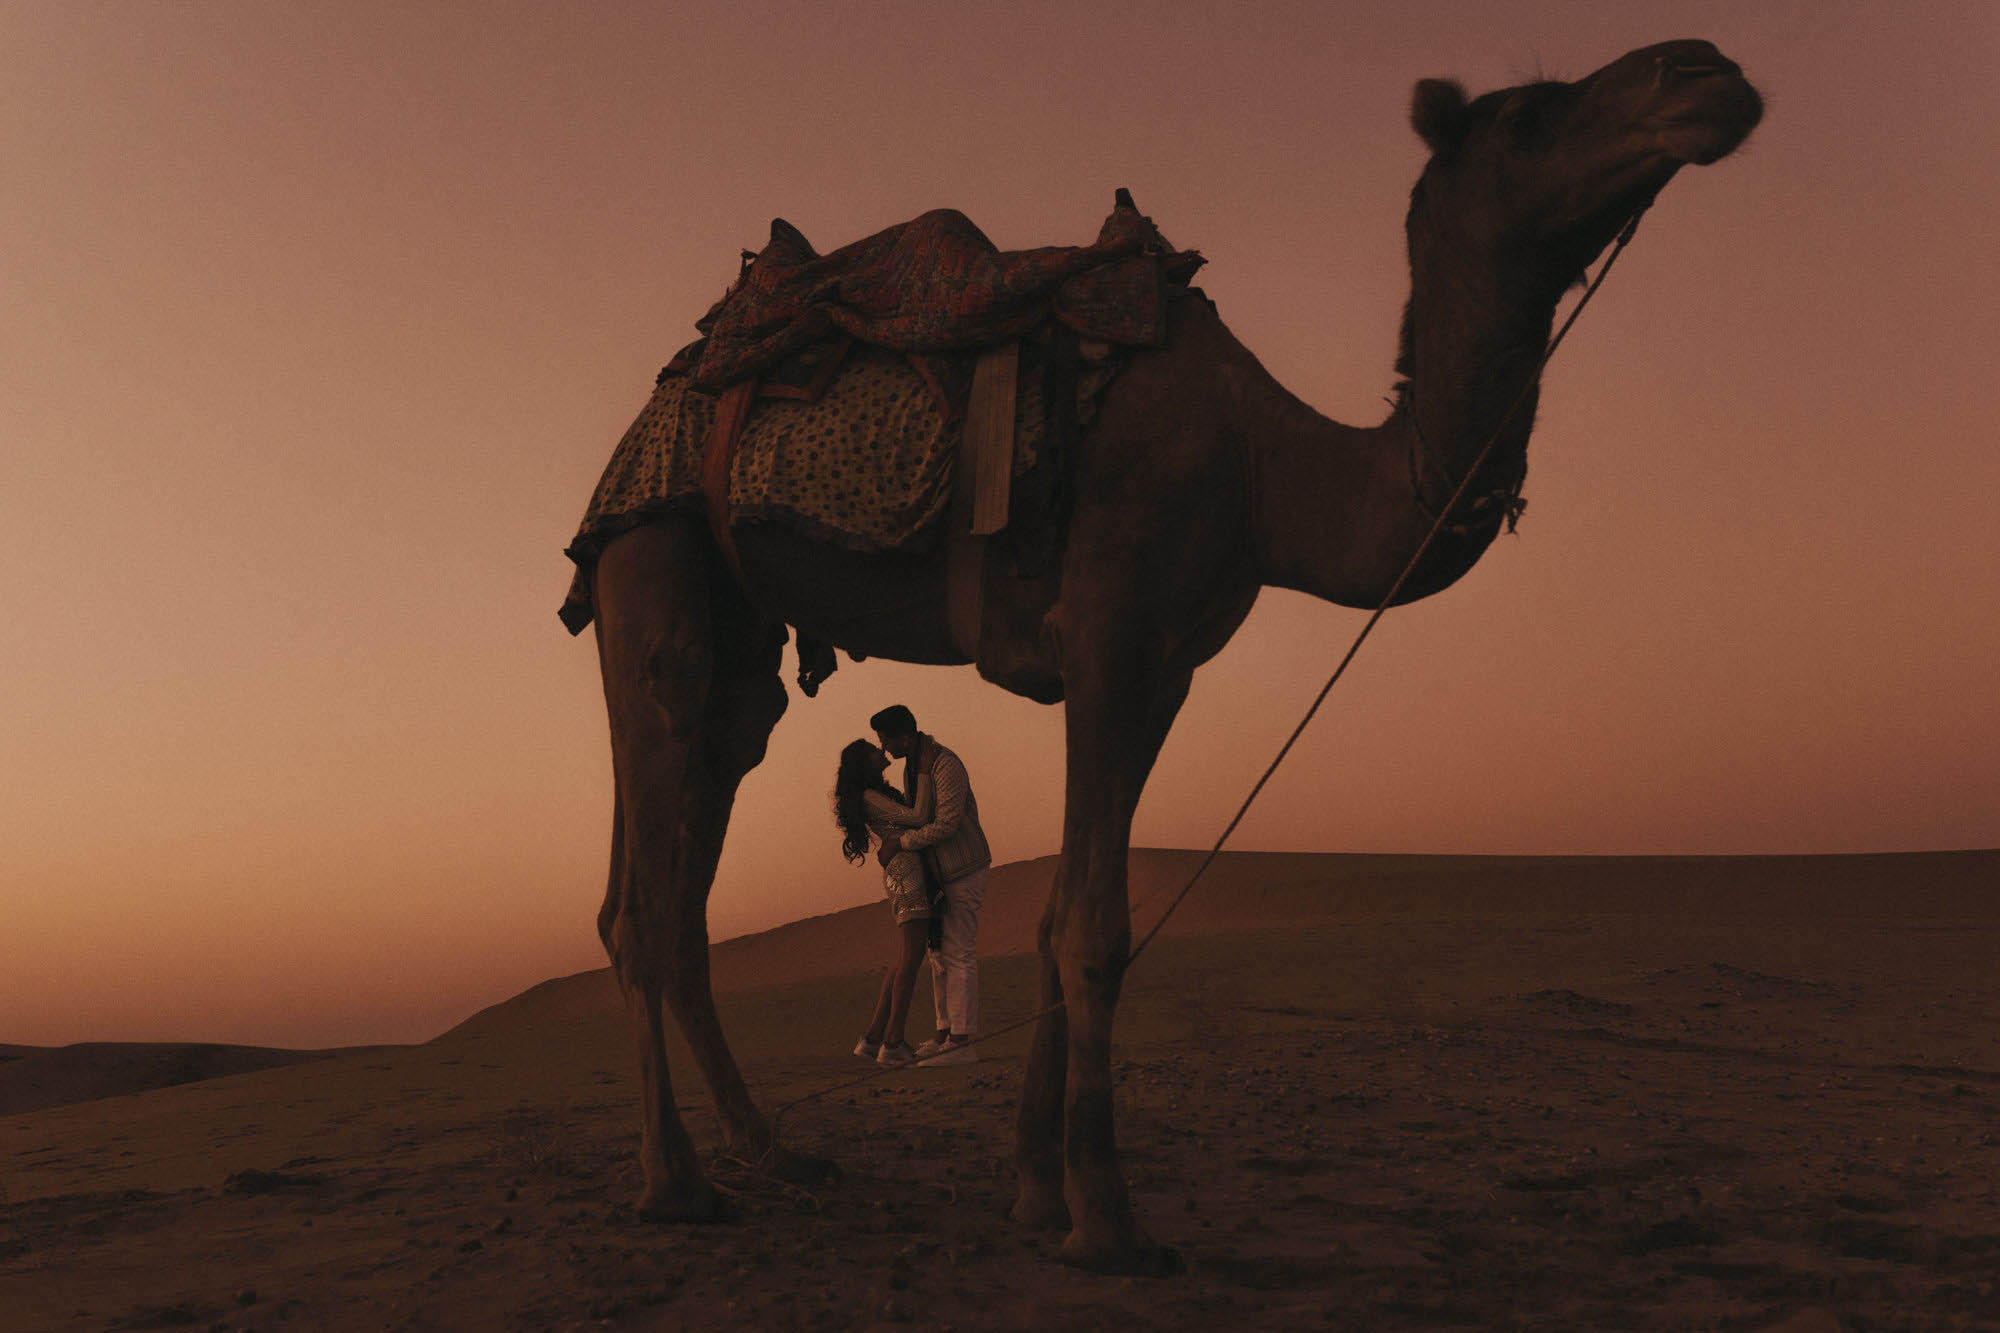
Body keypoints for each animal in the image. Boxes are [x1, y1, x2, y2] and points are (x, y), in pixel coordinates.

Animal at [584, 39, 1768, 1264]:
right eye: (1532, 114)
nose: (1705, 69)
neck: (1262, 466)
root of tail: (660, 395)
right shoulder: (1110, 633)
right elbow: (1094, 926)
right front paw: (1105, 1215)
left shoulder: (1164, 670)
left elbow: (1055, 914)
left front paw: (1035, 1190)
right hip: (653, 557)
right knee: (646, 873)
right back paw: (676, 1183)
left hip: (736, 648)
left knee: (689, 854)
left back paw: (772, 1151)